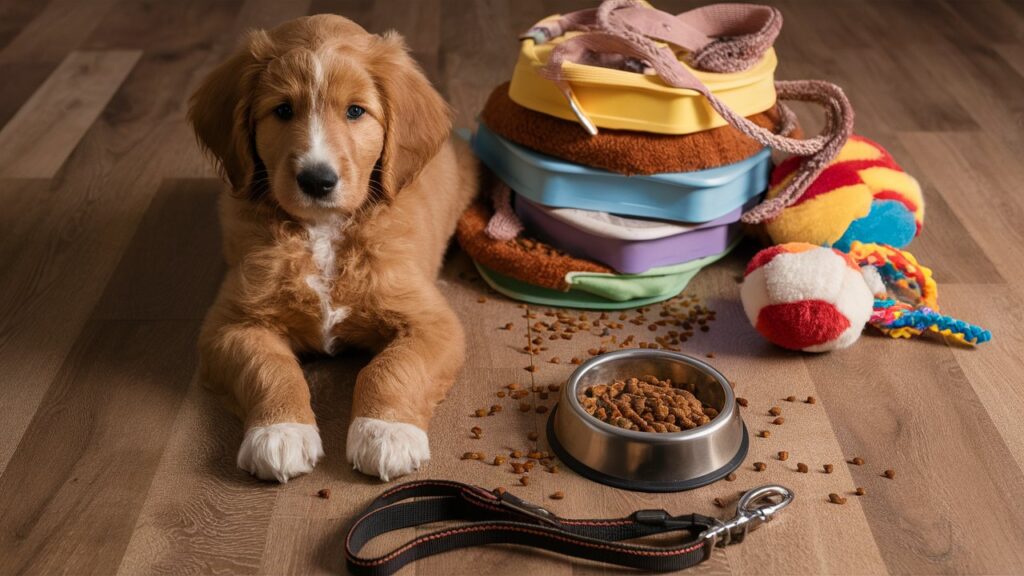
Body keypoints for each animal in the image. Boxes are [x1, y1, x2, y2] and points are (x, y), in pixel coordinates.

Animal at [190, 14, 477, 479]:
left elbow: (393, 367)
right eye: (283, 110)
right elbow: (269, 368)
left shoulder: (431, 321)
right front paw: (281, 432)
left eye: (356, 111)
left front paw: (386, 431)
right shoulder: (231, 323)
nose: (317, 180)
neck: (323, 232)